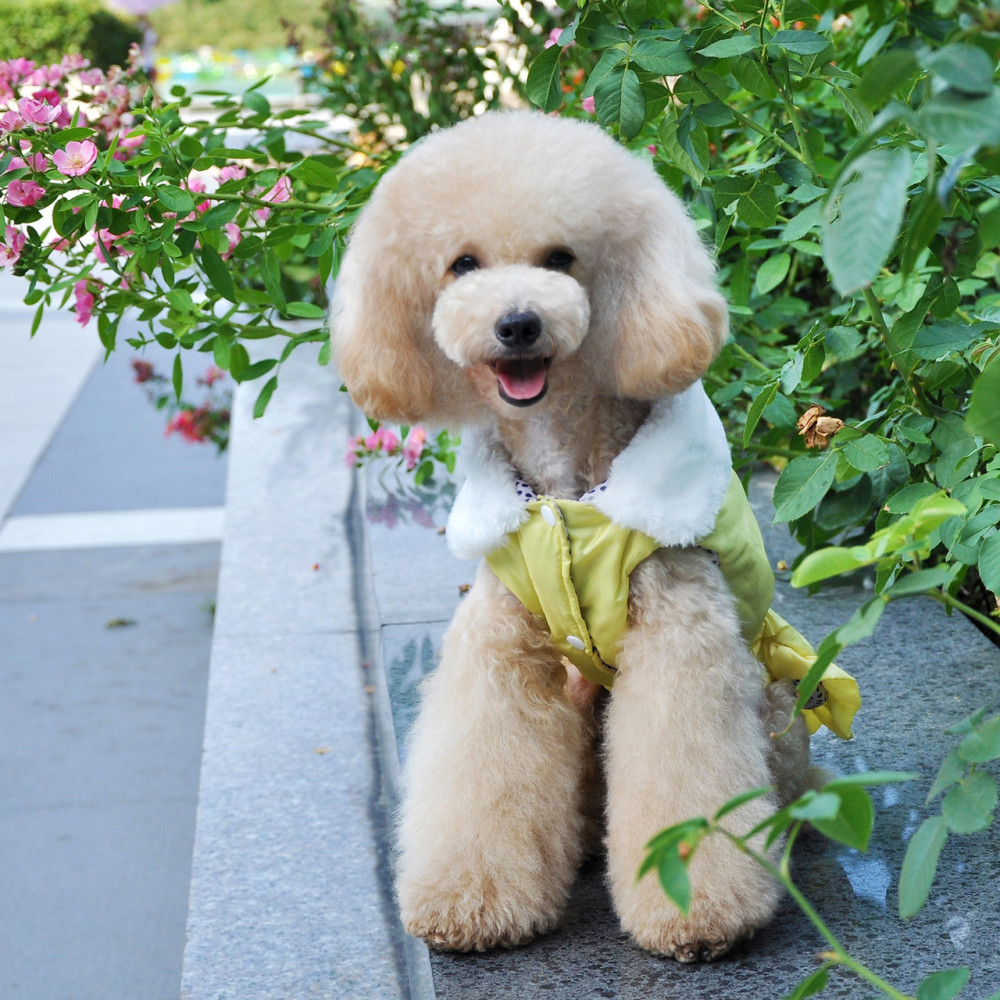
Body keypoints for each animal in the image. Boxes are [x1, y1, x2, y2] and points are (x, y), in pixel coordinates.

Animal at [330, 113, 860, 964]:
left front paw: (698, 916)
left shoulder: (680, 642)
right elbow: (484, 774)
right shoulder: (501, 648)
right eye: (462, 264)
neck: (564, 495)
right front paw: (469, 902)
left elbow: (681, 773)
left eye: (561, 258)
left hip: (776, 711)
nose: (518, 323)